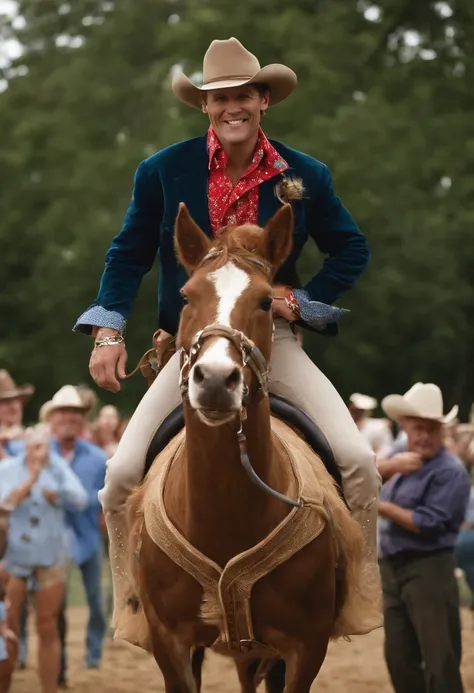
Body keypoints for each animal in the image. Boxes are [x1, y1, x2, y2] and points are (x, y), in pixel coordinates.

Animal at [125, 203, 374, 688]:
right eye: (187, 296)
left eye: (264, 301)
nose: (216, 379)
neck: (227, 512)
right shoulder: (171, 644)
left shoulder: (304, 647)